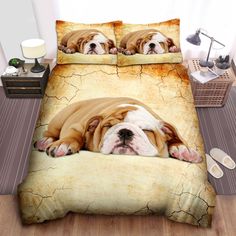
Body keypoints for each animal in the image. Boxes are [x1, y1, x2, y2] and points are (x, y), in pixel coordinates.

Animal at [34, 97, 202, 163]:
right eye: (108, 126)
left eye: (146, 130)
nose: (125, 131)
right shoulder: (78, 126)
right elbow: (73, 134)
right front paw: (64, 144)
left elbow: (177, 139)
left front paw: (184, 149)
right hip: (60, 118)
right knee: (50, 133)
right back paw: (45, 141)